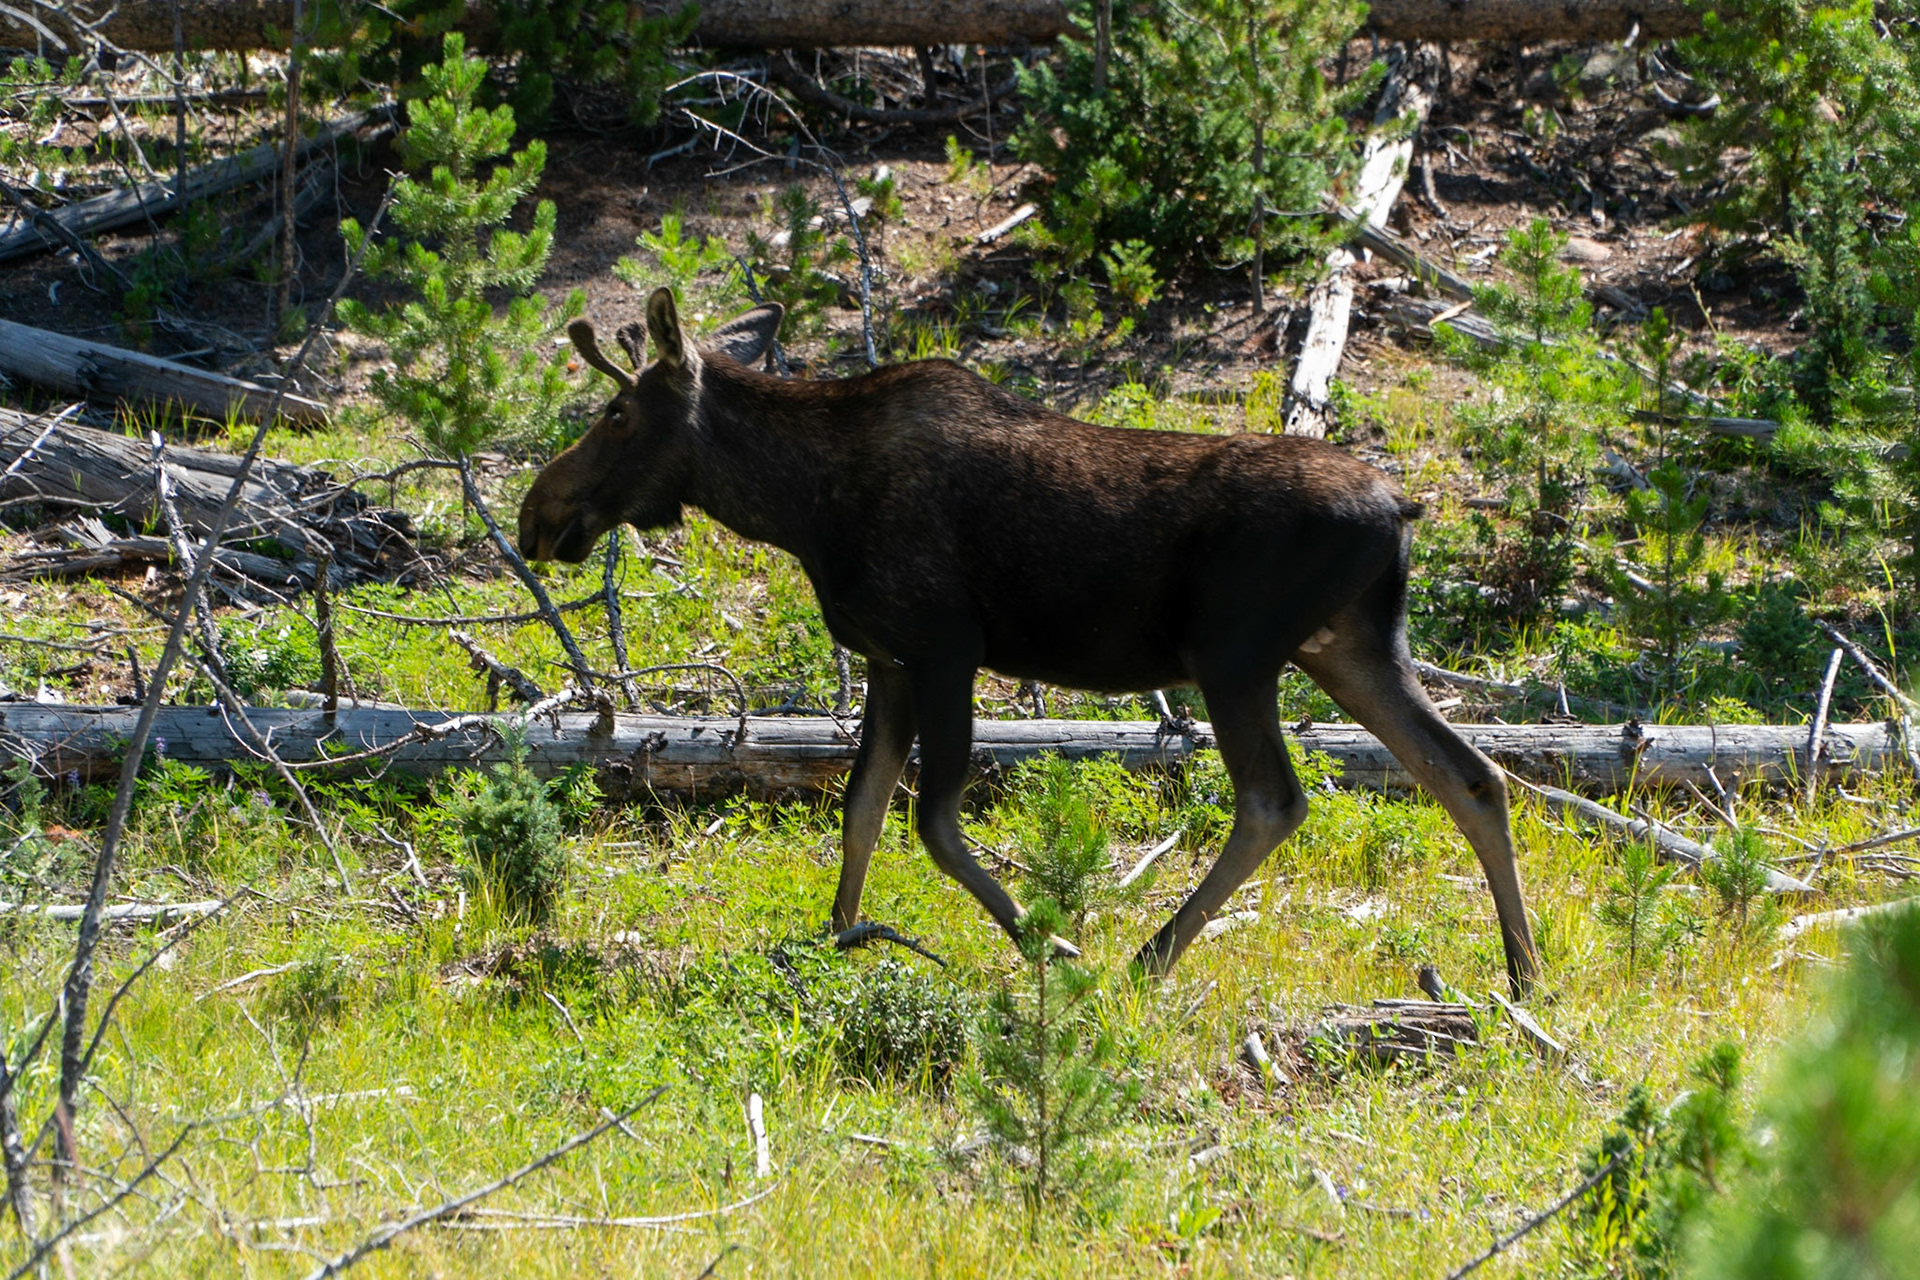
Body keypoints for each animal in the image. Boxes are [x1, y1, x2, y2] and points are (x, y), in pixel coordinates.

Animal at [519, 288, 1542, 995]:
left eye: (616, 414)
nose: (538, 514)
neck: (798, 506)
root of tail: (1404, 508)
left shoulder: (944, 647)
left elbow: (932, 824)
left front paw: (1049, 942)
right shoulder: (889, 660)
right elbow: (860, 809)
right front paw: (837, 936)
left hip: (1237, 654)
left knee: (1274, 800)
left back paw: (1146, 957)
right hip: (1349, 647)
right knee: (1470, 775)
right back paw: (1523, 971)